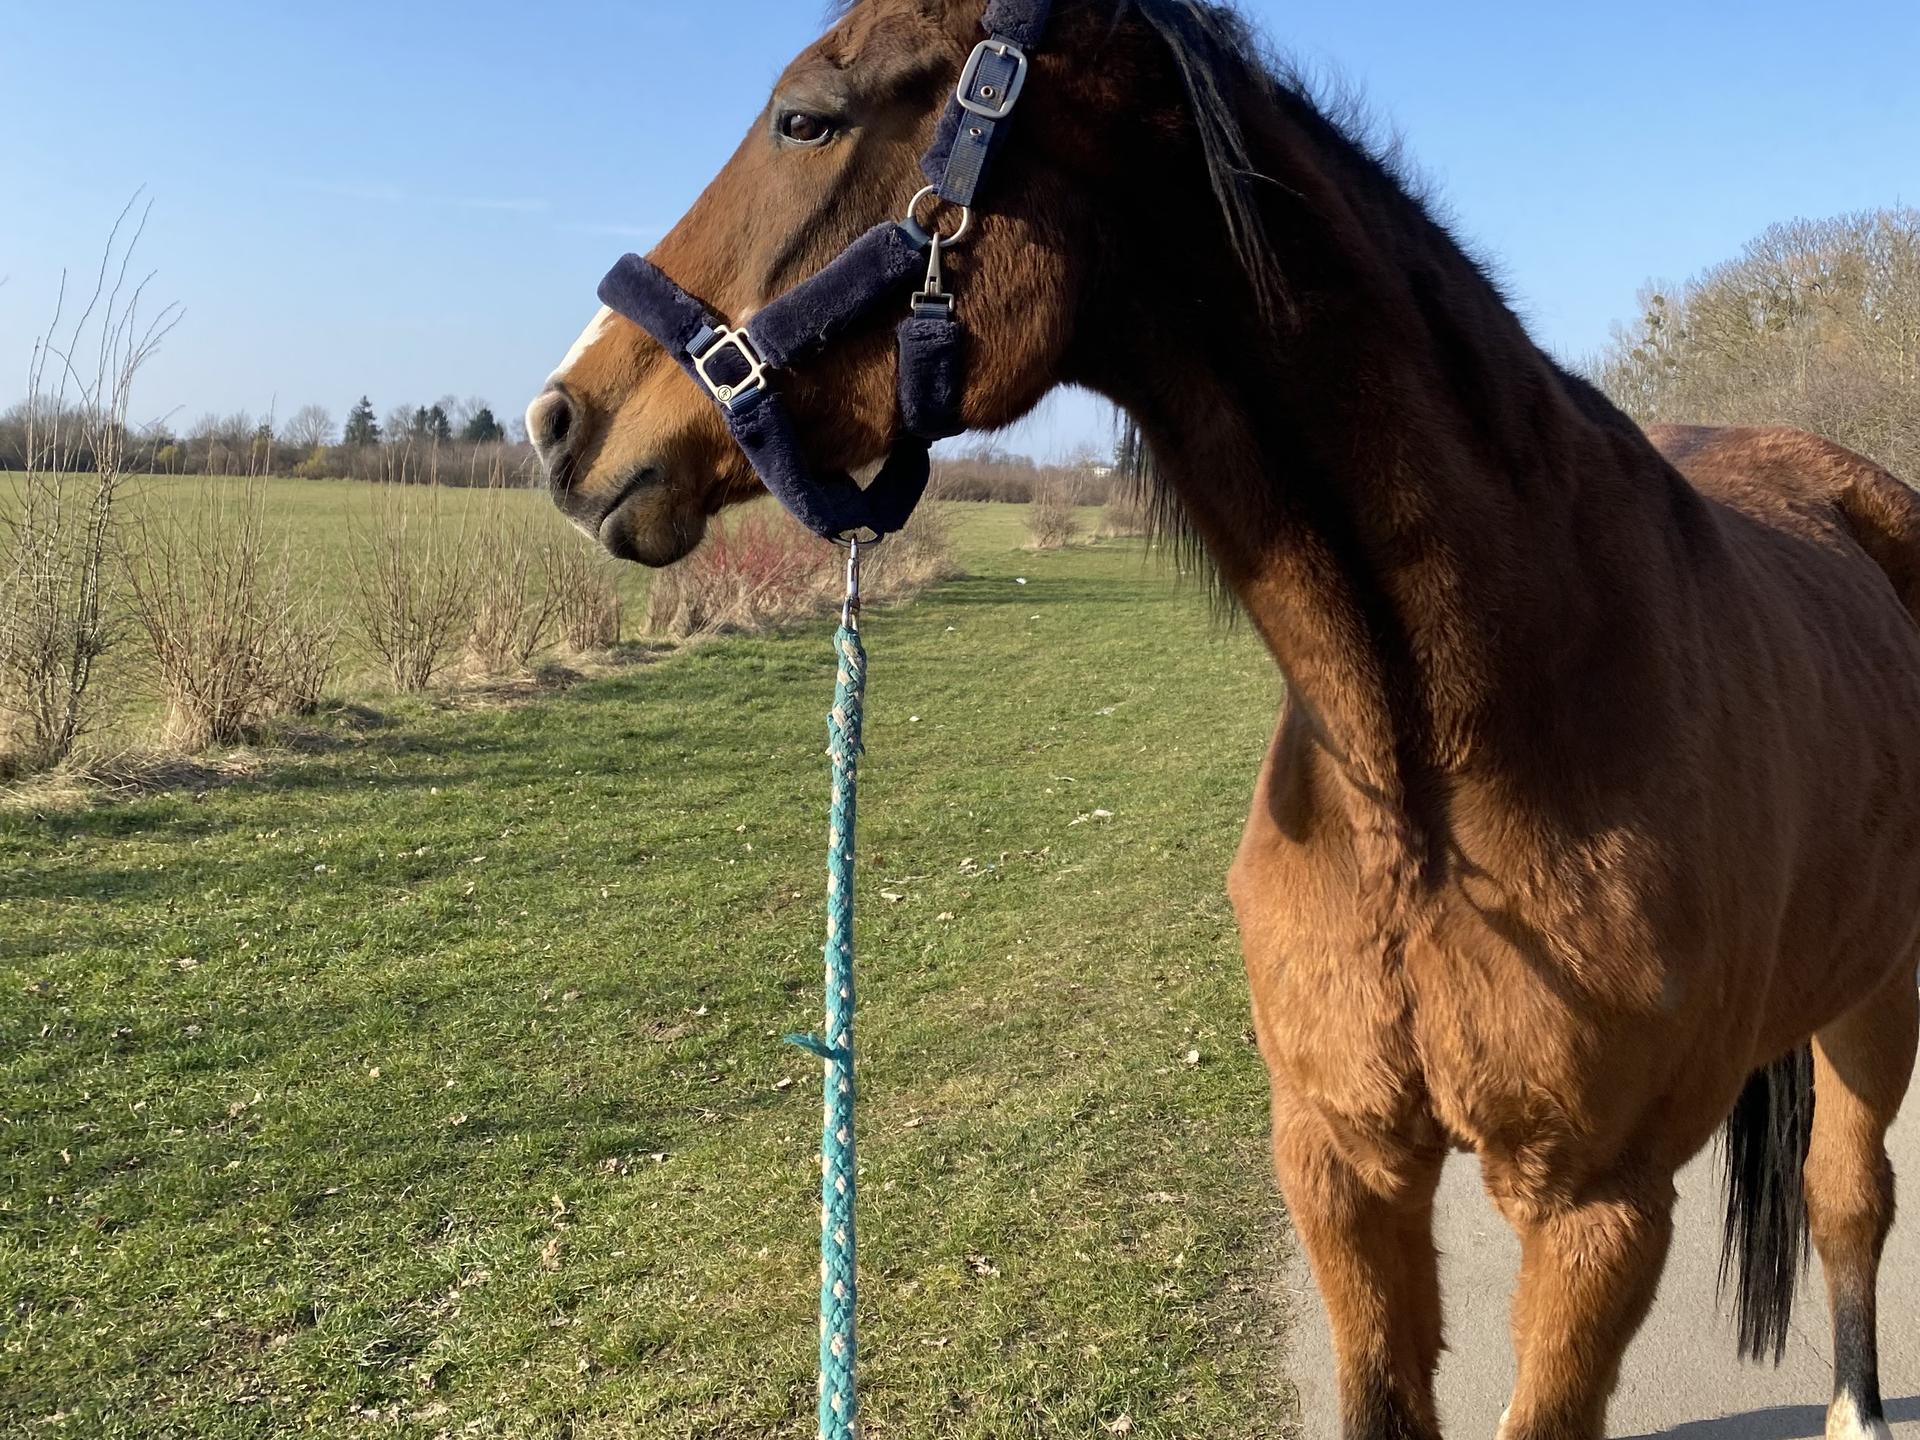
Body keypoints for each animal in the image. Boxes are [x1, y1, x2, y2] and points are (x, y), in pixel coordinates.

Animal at [524, 3, 1920, 1436]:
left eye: (807, 117)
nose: (561, 422)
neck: (1440, 764)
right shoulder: (1340, 1161)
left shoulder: (1599, 1210)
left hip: (1882, 997)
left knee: (1848, 1201)